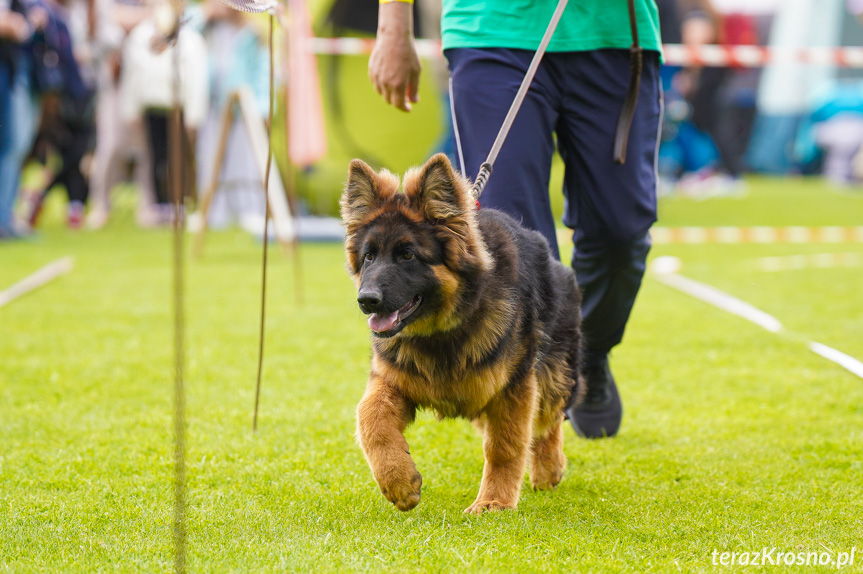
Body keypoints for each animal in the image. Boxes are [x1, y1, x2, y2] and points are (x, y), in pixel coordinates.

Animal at [340, 154, 584, 516]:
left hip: (553, 373)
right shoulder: (391, 380)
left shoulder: (513, 388)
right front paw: (398, 481)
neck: (441, 331)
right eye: (369, 256)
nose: (366, 300)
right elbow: (370, 419)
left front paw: (494, 501)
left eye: (408, 255)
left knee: (547, 421)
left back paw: (548, 469)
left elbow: (505, 446)